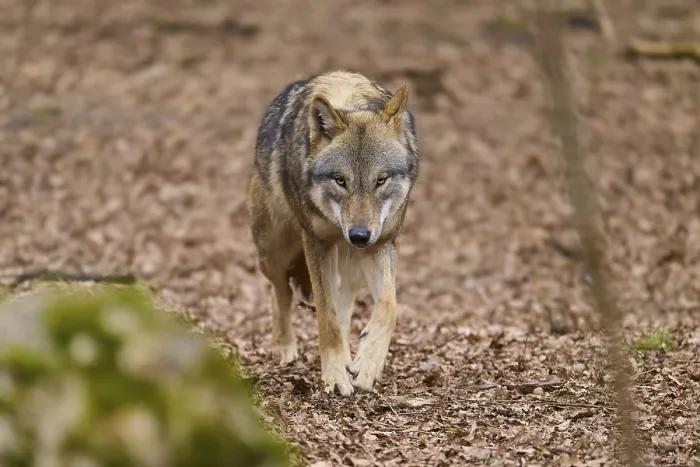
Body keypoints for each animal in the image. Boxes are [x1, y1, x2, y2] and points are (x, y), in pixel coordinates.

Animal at [246, 70, 419, 396]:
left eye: (380, 180)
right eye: (341, 181)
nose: (359, 235)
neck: (349, 100)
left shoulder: (382, 242)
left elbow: (389, 305)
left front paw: (367, 364)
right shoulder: (317, 243)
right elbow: (326, 318)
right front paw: (337, 375)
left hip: (349, 266)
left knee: (343, 306)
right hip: (274, 252)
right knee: (281, 291)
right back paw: (283, 346)